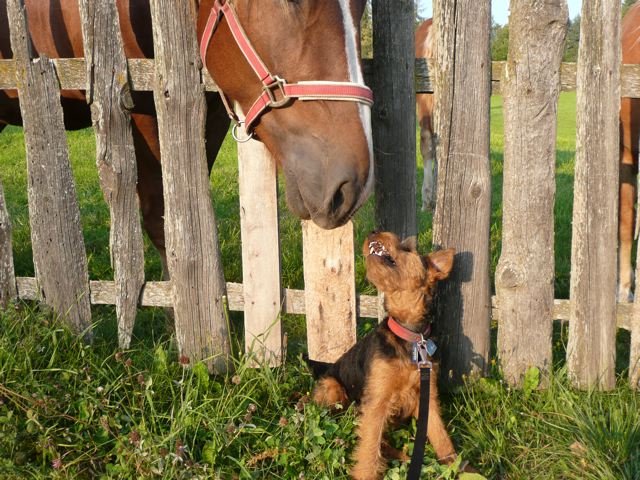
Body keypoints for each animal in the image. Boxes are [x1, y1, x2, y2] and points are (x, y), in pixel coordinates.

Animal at [310, 231, 460, 478]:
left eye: (408, 249)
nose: (375, 232)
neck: (411, 336)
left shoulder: (426, 396)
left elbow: (440, 436)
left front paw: (455, 465)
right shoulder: (377, 400)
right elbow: (369, 448)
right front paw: (366, 474)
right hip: (333, 389)